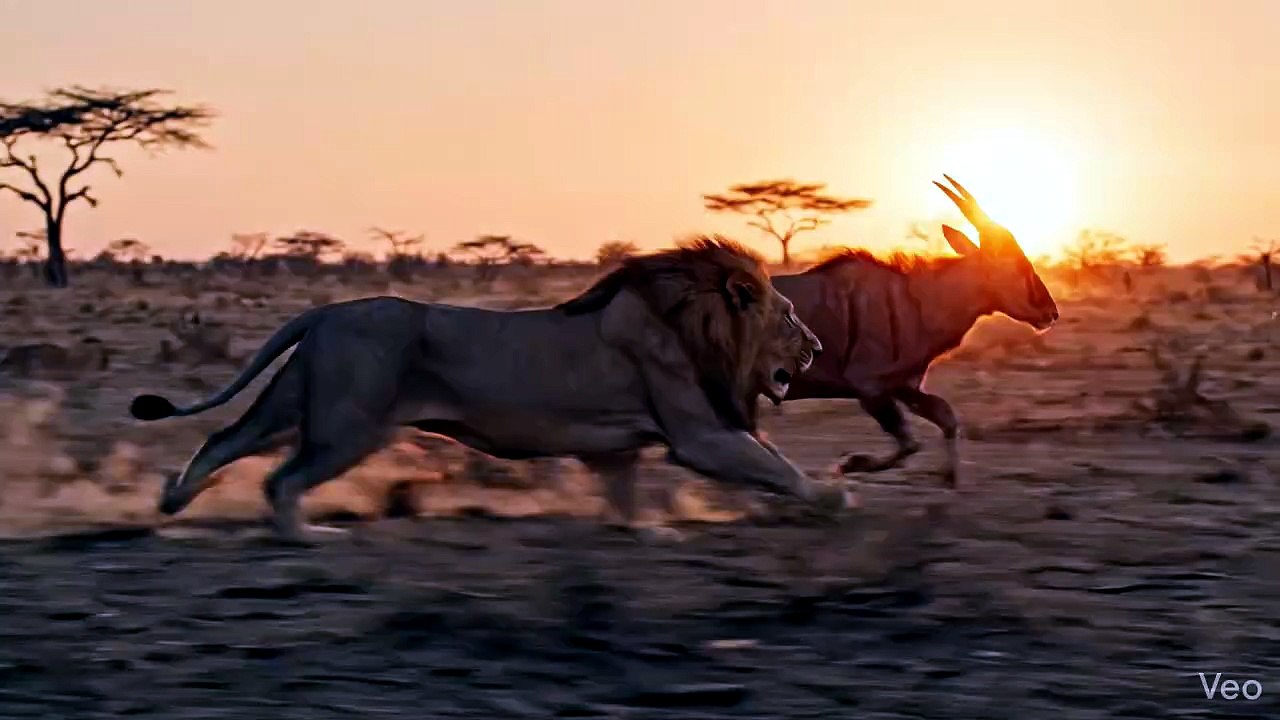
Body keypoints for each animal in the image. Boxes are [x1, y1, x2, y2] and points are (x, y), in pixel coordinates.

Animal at [128, 236, 847, 542]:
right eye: (789, 315)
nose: (816, 347)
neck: (695, 322)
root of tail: (325, 311)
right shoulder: (699, 433)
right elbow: (773, 464)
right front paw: (833, 496)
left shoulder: (618, 446)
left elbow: (624, 491)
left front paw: (643, 530)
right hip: (350, 425)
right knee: (281, 478)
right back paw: (305, 536)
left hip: (299, 401)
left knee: (225, 438)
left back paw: (171, 501)